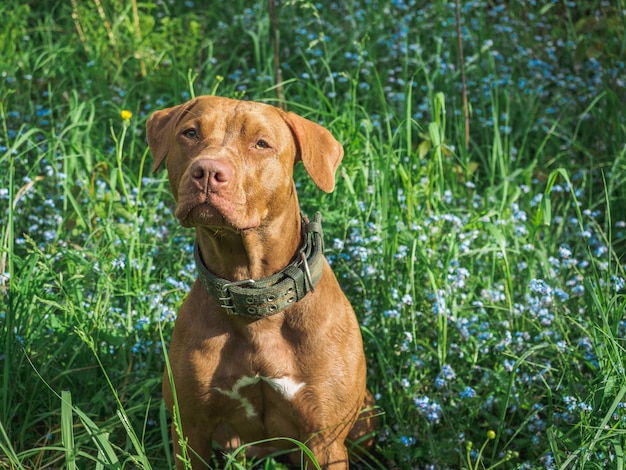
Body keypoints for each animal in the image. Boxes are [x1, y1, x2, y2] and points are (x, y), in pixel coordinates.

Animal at [146, 96, 376, 470]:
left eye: (261, 144)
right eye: (190, 133)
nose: (207, 171)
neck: (253, 292)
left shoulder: (324, 441)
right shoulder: (191, 428)